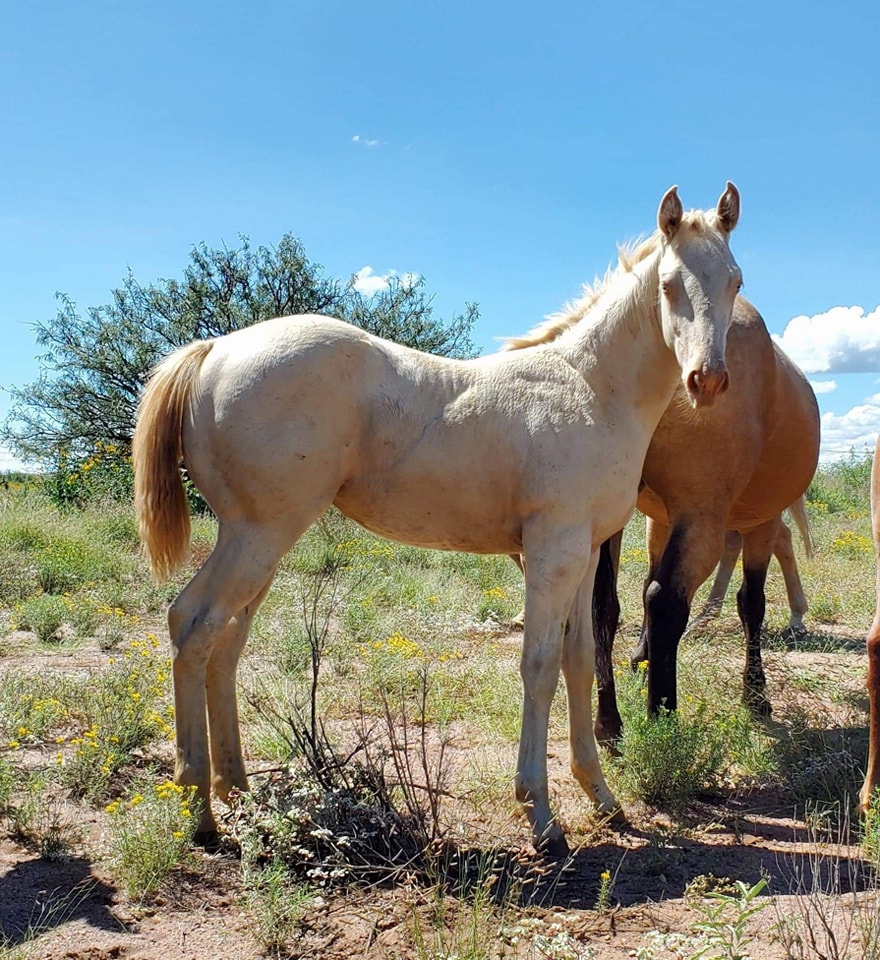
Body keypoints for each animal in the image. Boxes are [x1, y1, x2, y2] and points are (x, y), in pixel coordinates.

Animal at [132, 183, 743, 856]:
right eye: (669, 285)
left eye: (735, 281)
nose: (708, 380)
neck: (590, 389)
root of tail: (215, 349)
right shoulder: (551, 552)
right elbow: (539, 666)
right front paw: (542, 817)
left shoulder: (584, 554)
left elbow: (581, 660)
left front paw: (603, 799)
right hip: (258, 535)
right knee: (193, 624)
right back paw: (200, 814)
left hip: (257, 541)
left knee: (224, 641)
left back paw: (236, 790)